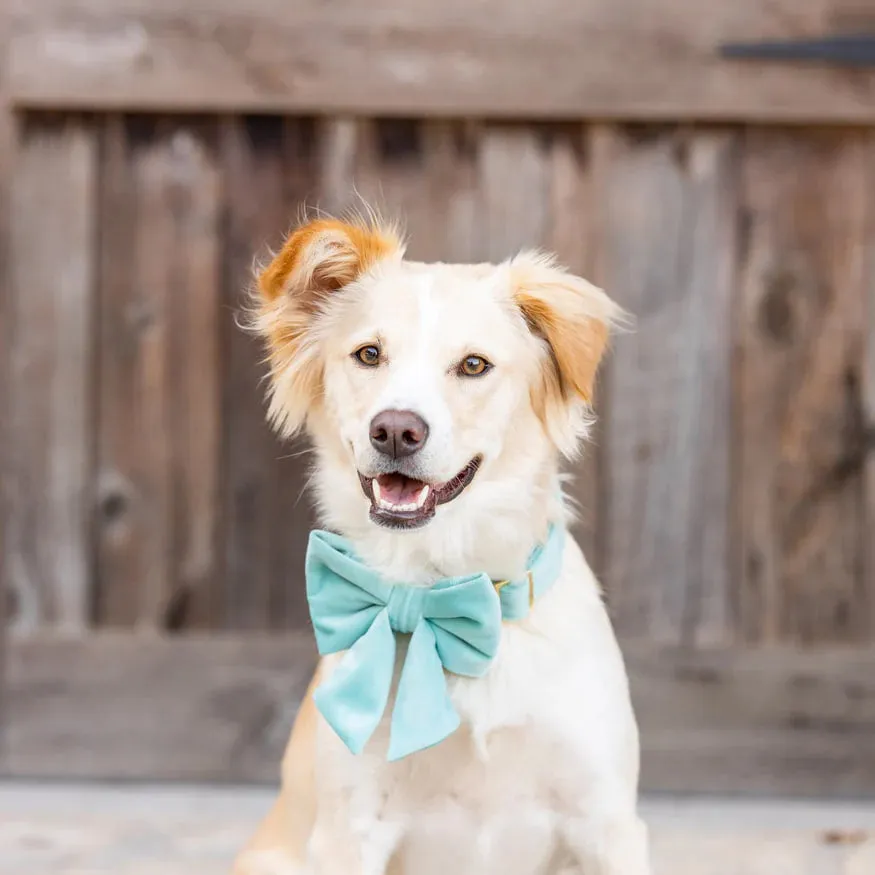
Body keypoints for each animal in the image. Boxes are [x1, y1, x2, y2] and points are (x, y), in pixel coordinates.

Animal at [233, 214, 652, 875]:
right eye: (369, 354)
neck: (443, 589)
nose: (395, 430)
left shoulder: (607, 825)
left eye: (474, 365)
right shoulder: (349, 831)